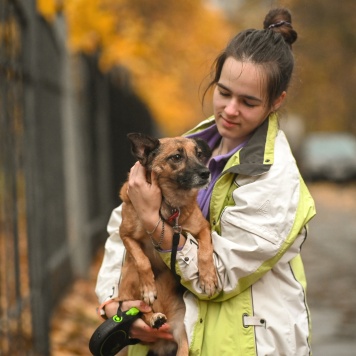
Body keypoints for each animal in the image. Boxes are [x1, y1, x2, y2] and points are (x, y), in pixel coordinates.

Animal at [117, 133, 218, 356]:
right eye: (177, 157)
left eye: (199, 154)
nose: (206, 173)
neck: (169, 206)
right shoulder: (125, 235)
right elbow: (142, 260)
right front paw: (148, 289)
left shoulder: (202, 229)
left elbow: (205, 251)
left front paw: (208, 278)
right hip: (129, 277)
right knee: (139, 310)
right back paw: (153, 317)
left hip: (181, 334)